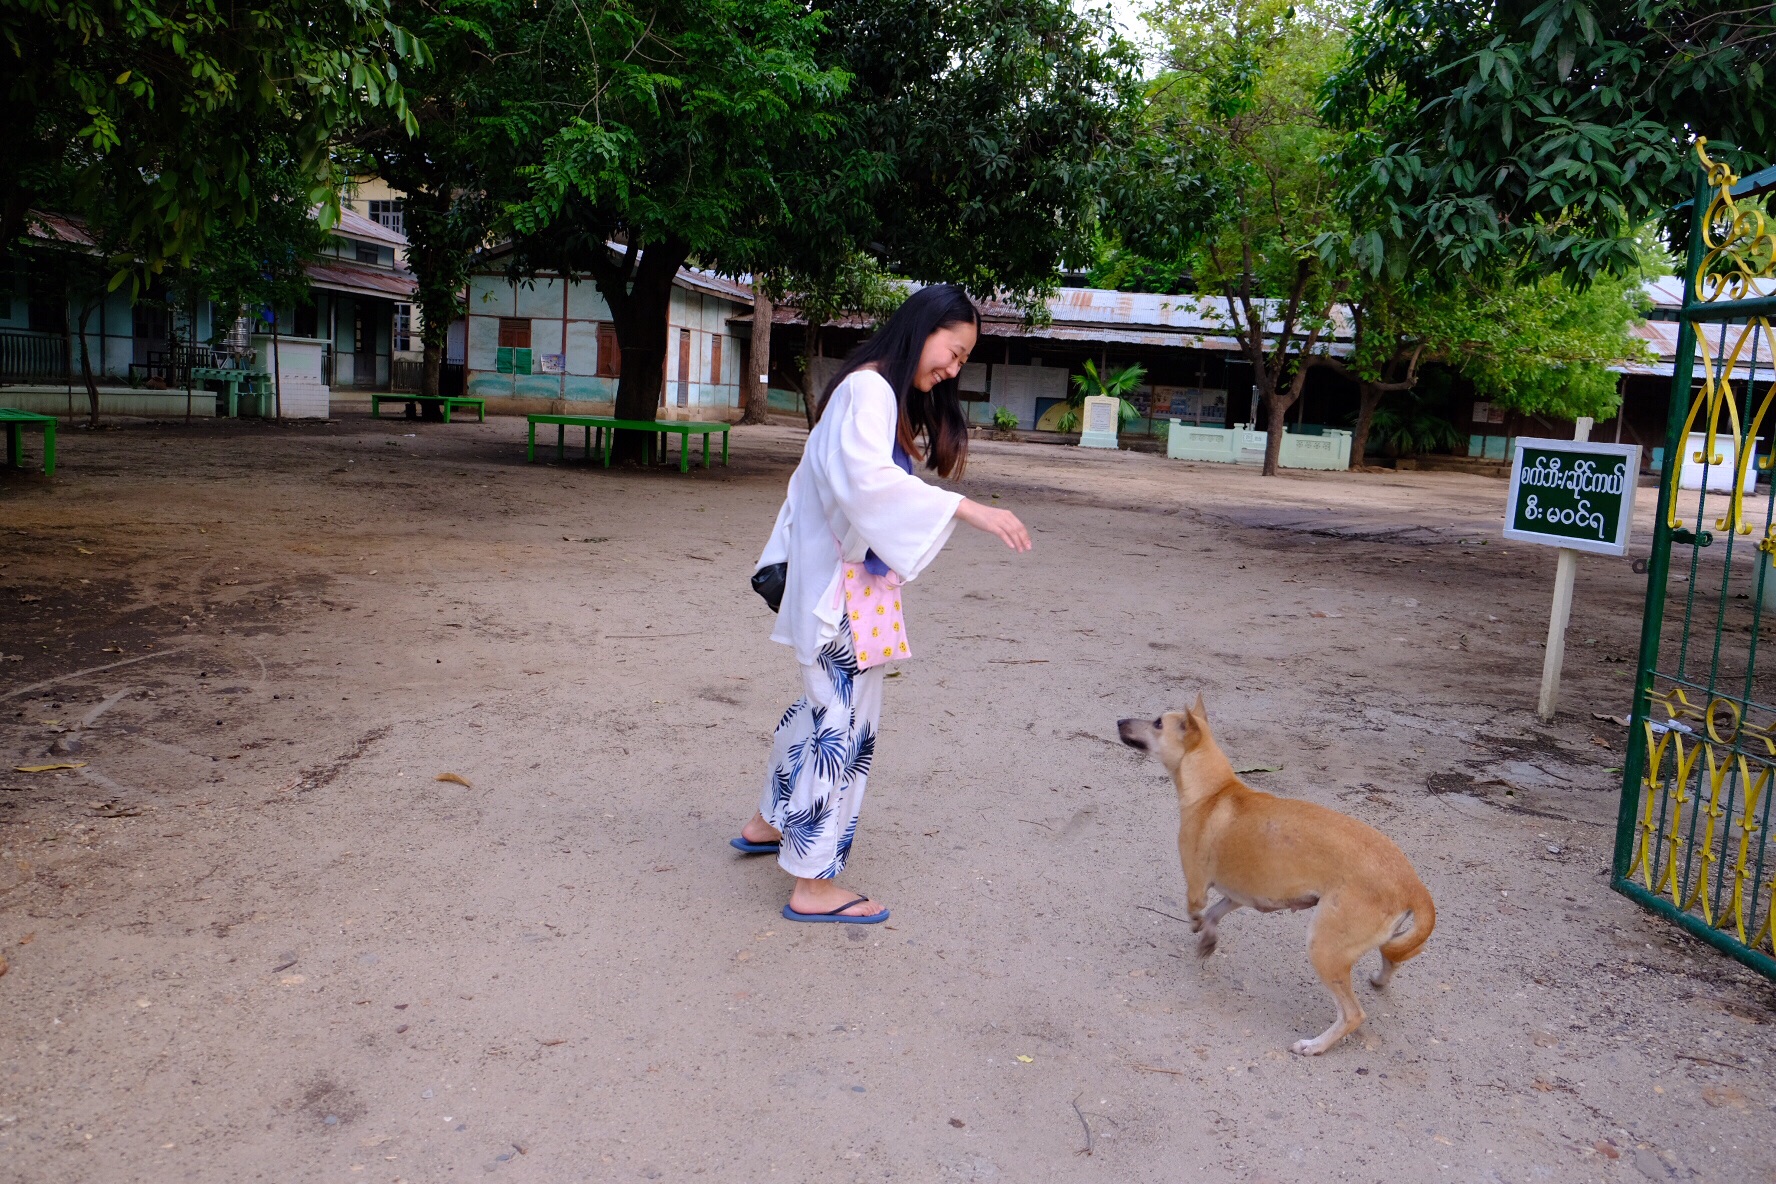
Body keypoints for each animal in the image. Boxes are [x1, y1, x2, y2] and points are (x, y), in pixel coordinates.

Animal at [1115, 695, 1435, 1057]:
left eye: (1157, 723)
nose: (1119, 721)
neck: (1215, 790)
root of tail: (1411, 882)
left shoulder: (1197, 887)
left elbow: (1196, 910)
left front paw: (1199, 929)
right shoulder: (1239, 896)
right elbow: (1214, 915)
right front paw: (1208, 937)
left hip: (1323, 949)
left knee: (1353, 1014)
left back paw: (1315, 1045)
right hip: (1378, 943)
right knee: (1392, 958)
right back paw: (1380, 981)